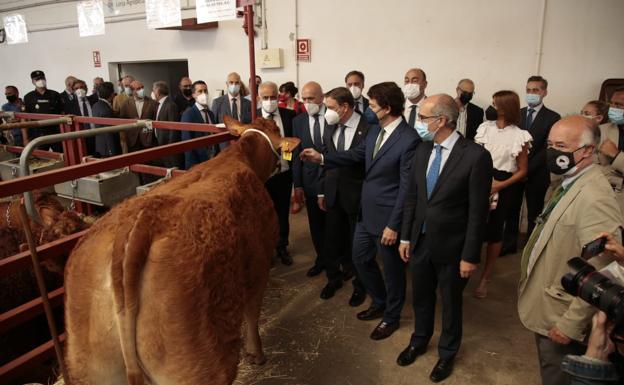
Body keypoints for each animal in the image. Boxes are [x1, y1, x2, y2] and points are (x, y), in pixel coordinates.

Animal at [63, 116, 300, 384]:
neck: (238, 158)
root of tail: (138, 224)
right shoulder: (258, 264)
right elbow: (252, 314)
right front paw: (256, 354)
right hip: (196, 367)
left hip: (91, 368)